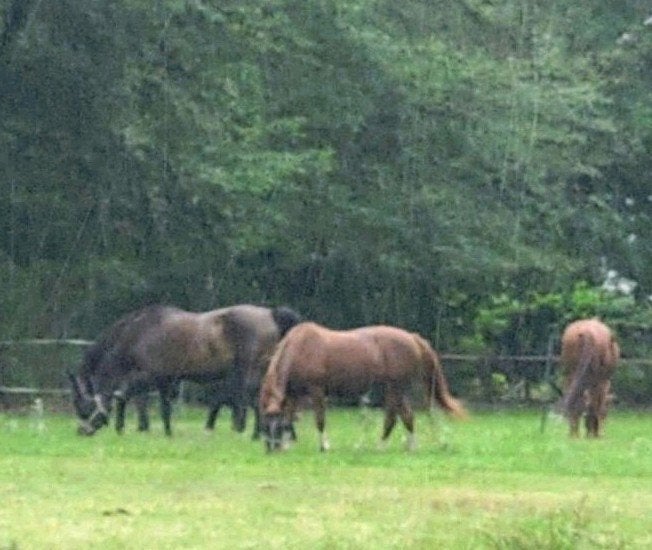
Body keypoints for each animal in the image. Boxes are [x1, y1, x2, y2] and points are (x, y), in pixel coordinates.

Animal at [70, 303, 301, 436]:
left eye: (82, 406)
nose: (82, 431)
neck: (139, 332)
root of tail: (271, 314)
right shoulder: (164, 380)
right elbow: (158, 405)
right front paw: (158, 430)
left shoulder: (149, 377)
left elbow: (130, 398)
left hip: (250, 374)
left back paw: (256, 434)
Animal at [259, 322, 467, 452]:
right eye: (264, 426)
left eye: (275, 427)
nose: (272, 448)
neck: (301, 348)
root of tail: (413, 338)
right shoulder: (293, 395)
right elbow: (290, 419)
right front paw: (287, 446)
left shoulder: (316, 392)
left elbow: (320, 420)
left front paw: (324, 446)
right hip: (396, 390)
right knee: (407, 416)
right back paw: (410, 446)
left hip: (394, 389)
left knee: (392, 418)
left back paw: (380, 446)